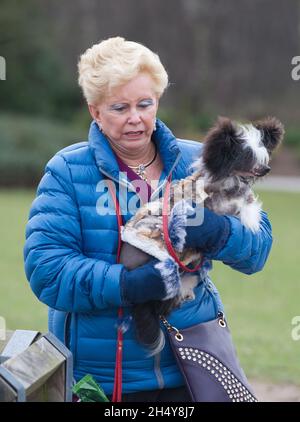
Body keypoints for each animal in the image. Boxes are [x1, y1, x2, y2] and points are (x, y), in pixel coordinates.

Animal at [119, 115, 284, 352]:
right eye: (246, 156)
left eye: (262, 155)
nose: (267, 169)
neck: (229, 180)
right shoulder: (216, 204)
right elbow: (240, 205)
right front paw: (249, 216)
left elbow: (245, 203)